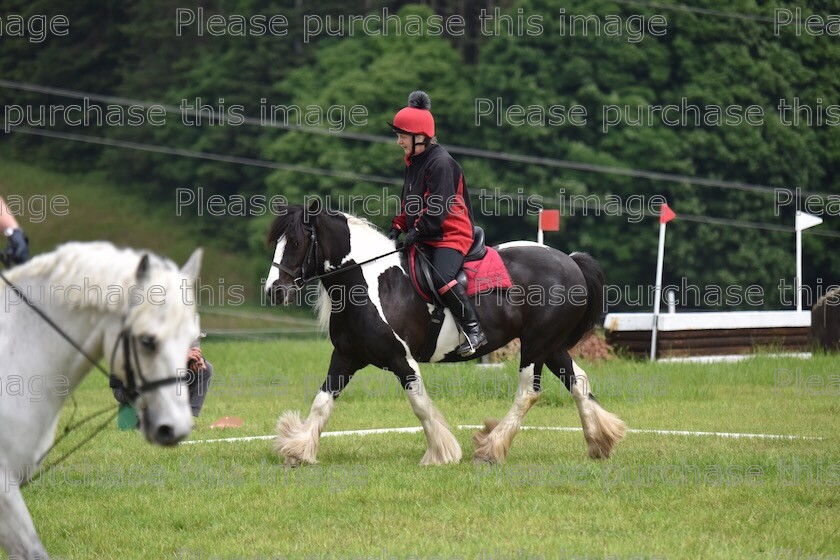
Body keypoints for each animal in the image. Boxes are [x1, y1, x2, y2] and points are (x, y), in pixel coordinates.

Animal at [266, 203, 628, 466]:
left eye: (296, 242)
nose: (274, 292)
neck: (368, 282)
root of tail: (571, 261)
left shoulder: (401, 359)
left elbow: (420, 405)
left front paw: (441, 453)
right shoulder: (345, 356)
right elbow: (322, 402)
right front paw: (298, 449)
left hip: (536, 345)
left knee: (528, 392)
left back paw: (491, 448)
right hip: (551, 346)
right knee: (578, 382)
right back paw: (600, 440)